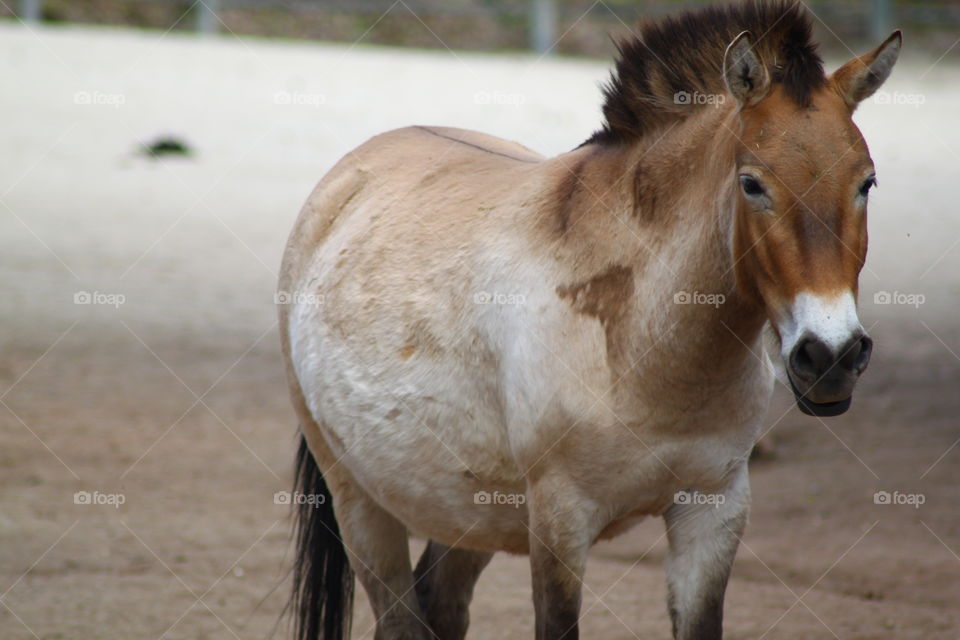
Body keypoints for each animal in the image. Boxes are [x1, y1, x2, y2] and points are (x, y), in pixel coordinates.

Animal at [277, 2, 900, 638]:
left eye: (867, 182)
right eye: (752, 184)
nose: (831, 356)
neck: (649, 348)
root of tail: (344, 181)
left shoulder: (713, 510)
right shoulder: (560, 521)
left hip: (469, 508)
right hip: (359, 499)